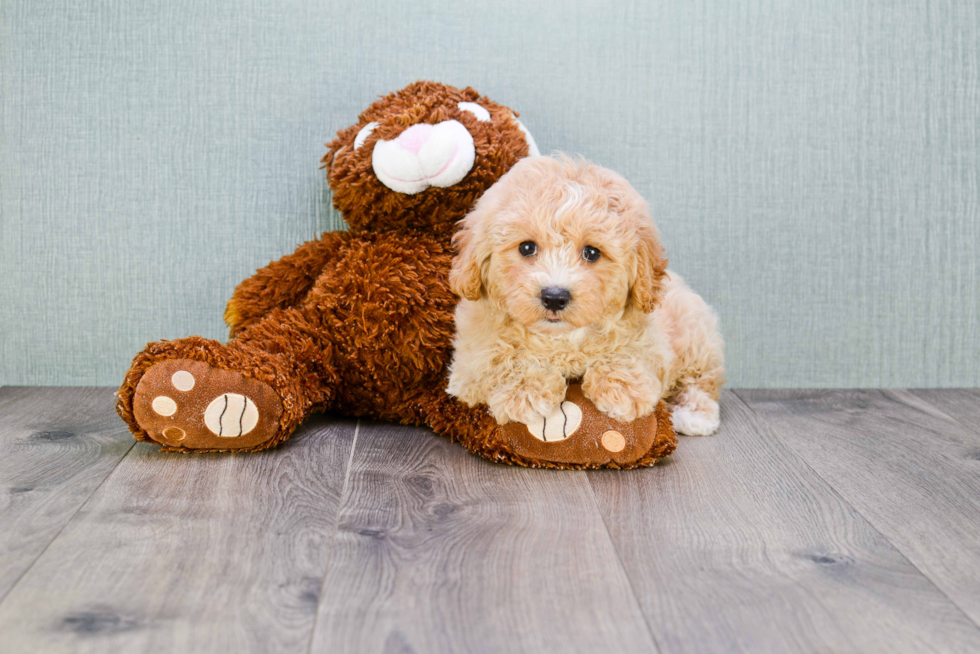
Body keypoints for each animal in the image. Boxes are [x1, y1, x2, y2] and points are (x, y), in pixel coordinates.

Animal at [448, 156, 724, 438]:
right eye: (526, 247)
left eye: (592, 253)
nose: (554, 297)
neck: (561, 339)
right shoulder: (467, 365)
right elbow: (495, 358)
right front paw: (525, 389)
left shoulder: (652, 340)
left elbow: (632, 348)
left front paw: (621, 387)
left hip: (696, 337)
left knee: (702, 380)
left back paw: (694, 415)